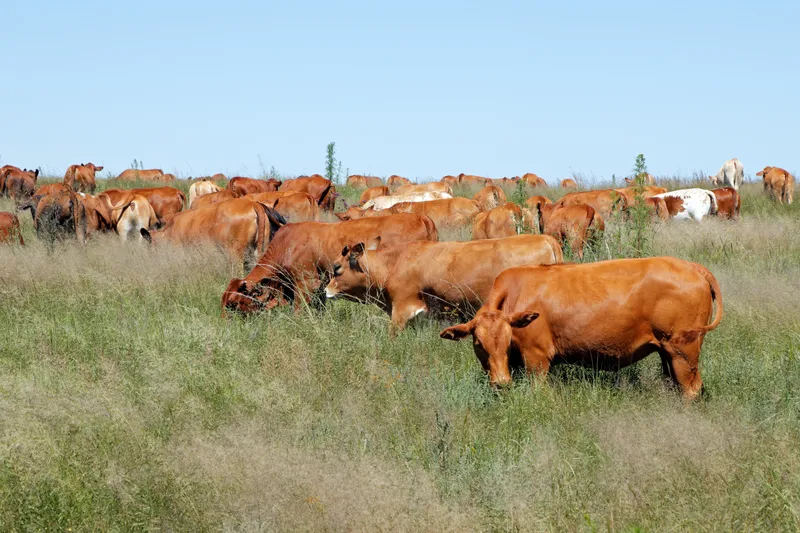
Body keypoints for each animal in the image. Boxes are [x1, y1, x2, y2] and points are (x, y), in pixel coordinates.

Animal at [439, 257, 723, 400]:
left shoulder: (537, 358)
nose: (500, 383)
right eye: (478, 343)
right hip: (668, 352)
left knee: (691, 388)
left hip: (683, 351)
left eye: (508, 339)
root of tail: (691, 266)